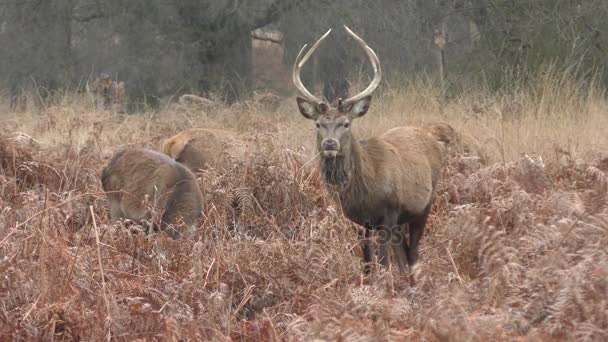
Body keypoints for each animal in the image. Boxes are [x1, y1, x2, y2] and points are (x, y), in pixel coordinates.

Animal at [292, 27, 444, 278]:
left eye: (345, 123)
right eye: (318, 124)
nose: (330, 144)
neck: (364, 192)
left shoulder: (389, 212)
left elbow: (382, 262)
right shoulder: (358, 222)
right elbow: (366, 263)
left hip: (424, 205)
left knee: (412, 254)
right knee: (402, 254)